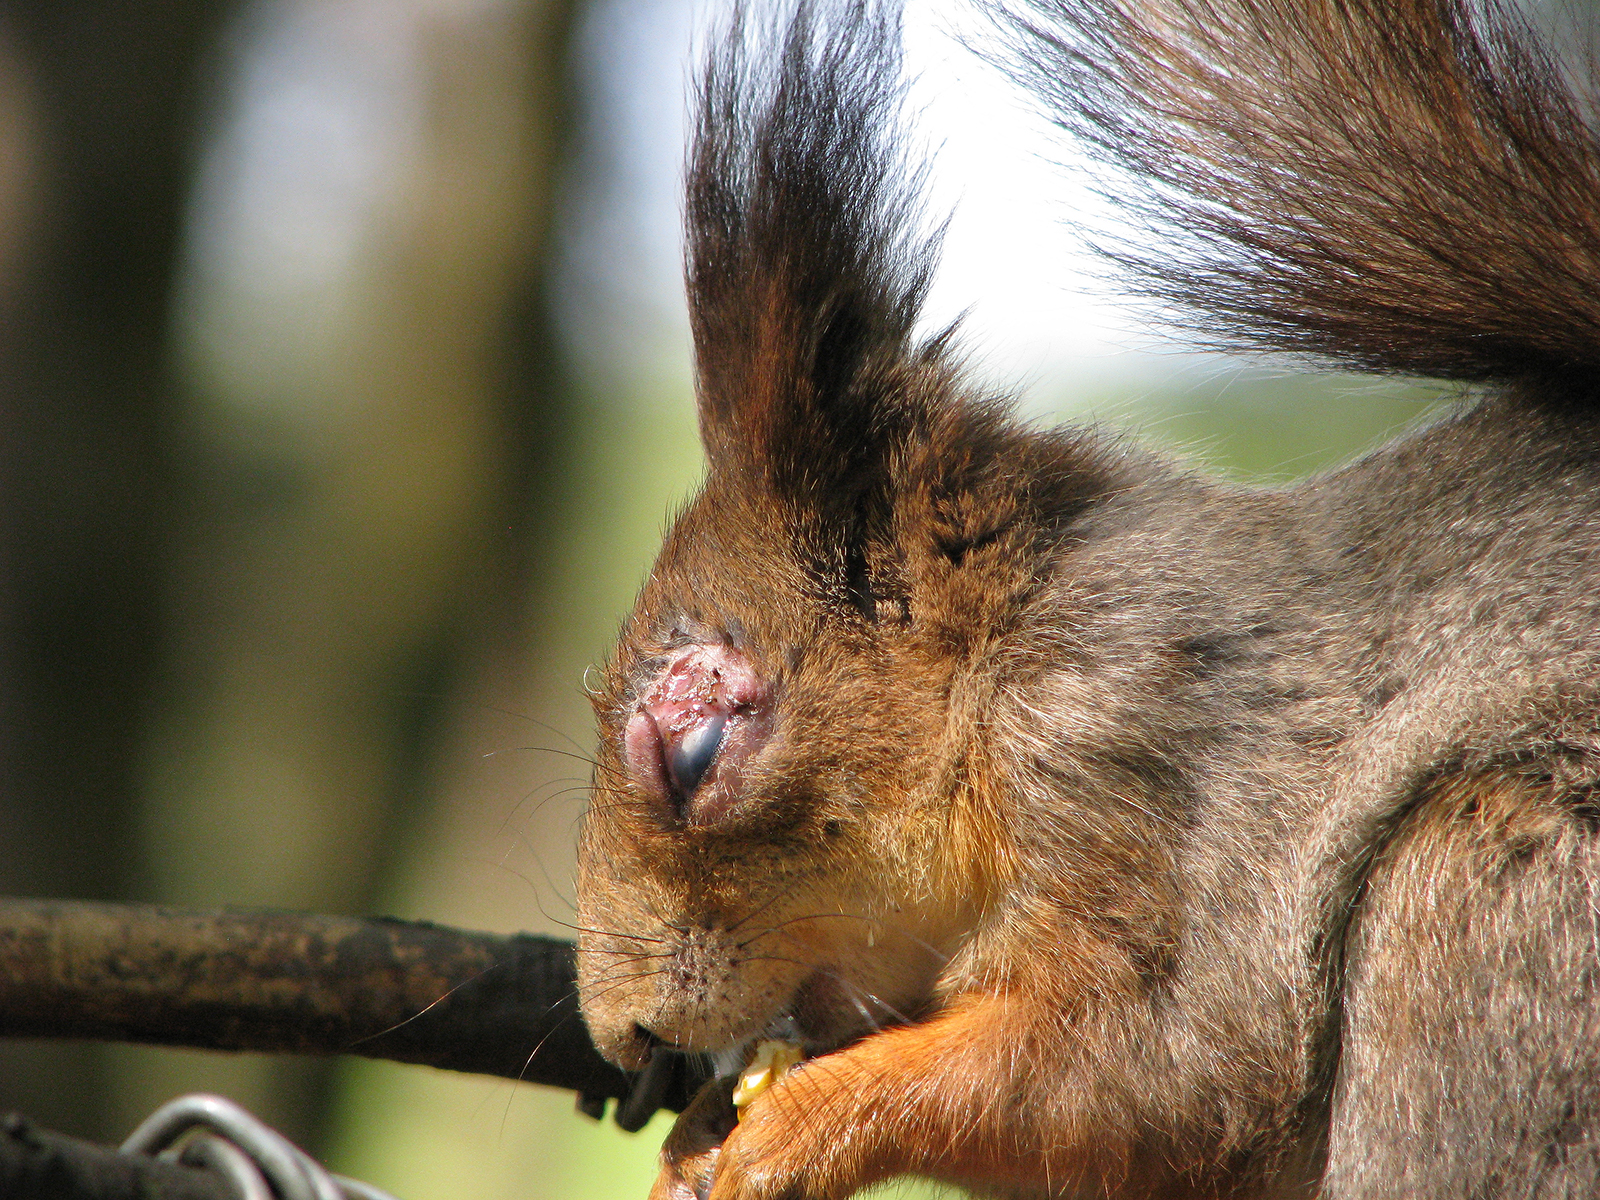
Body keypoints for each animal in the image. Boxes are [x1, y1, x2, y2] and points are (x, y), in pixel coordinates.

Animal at [579, 0, 1600, 1196]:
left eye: (692, 756)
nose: (624, 1036)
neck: (1001, 664)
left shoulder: (1140, 766)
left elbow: (1148, 1077)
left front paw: (786, 1128)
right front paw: (697, 1136)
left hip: (1491, 907)